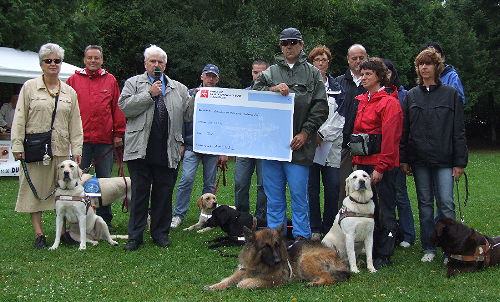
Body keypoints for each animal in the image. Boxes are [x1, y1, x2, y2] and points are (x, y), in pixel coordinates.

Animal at [202, 225, 348, 292]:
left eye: (277, 245)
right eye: (266, 246)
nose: (278, 261)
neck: (259, 264)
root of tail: (339, 258)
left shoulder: (276, 279)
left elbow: (251, 282)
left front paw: (245, 283)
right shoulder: (243, 271)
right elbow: (228, 280)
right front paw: (214, 286)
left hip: (305, 260)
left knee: (329, 277)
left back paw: (314, 283)